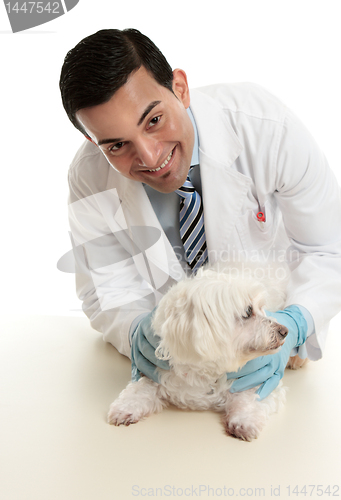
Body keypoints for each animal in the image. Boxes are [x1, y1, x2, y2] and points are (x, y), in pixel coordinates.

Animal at [107, 262, 302, 442]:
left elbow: (250, 397)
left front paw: (244, 420)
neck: (204, 371)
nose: (285, 331)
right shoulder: (156, 372)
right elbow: (139, 388)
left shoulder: (263, 379)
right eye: (248, 311)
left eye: (263, 308)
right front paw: (125, 407)